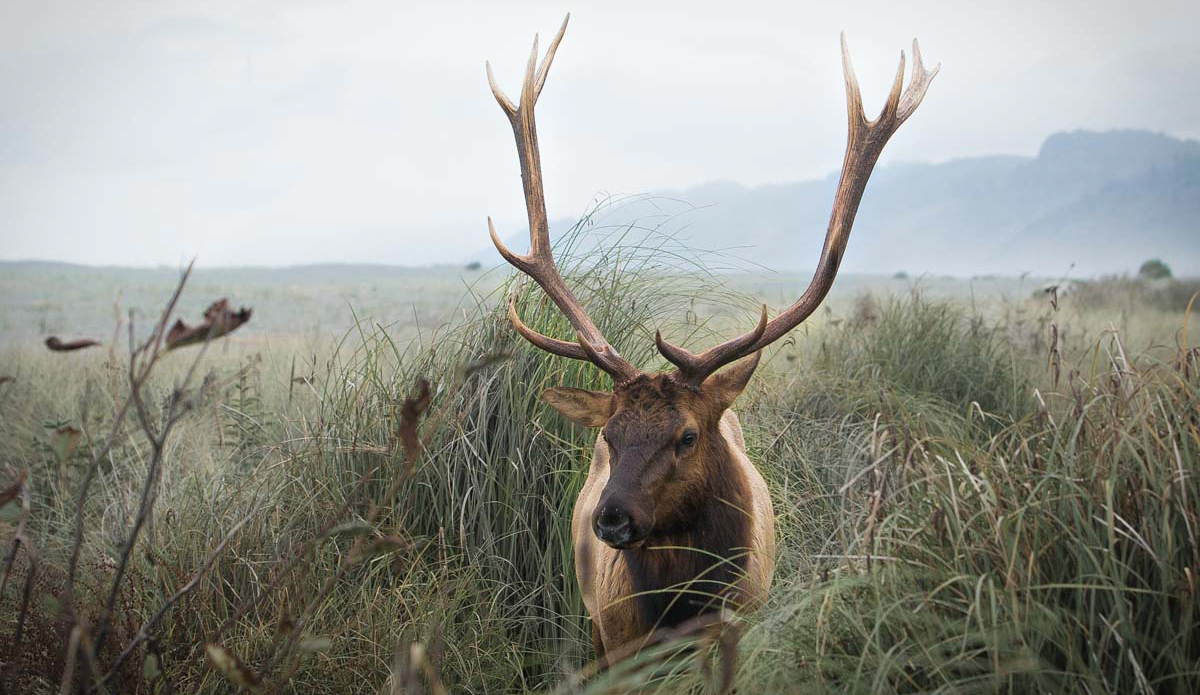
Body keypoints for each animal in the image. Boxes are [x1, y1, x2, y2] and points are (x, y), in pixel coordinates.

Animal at [484, 14, 936, 657]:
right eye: (610, 437)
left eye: (688, 435)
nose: (611, 519)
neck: (684, 607)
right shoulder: (619, 642)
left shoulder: (741, 626)